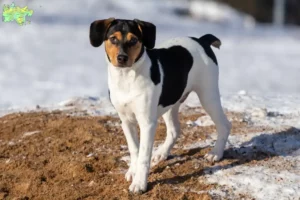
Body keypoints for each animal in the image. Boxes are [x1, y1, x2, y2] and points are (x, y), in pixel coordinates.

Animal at [89, 18, 232, 193]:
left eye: (134, 40)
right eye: (113, 39)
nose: (122, 58)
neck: (126, 78)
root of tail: (202, 40)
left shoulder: (147, 123)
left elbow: (143, 155)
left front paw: (139, 183)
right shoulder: (126, 121)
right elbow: (134, 149)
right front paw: (133, 172)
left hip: (208, 96)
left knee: (224, 125)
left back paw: (216, 153)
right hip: (170, 102)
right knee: (174, 130)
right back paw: (162, 153)